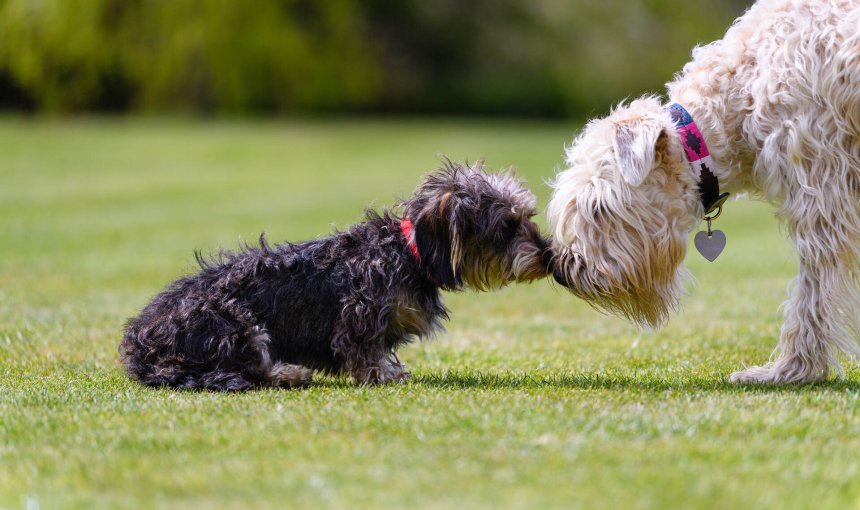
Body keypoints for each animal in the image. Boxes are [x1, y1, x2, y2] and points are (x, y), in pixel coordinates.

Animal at [119, 163, 552, 390]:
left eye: (528, 216)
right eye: (506, 226)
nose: (549, 257)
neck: (408, 252)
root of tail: (138, 342)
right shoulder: (359, 315)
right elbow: (363, 352)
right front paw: (383, 375)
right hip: (239, 325)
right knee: (244, 370)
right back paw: (289, 372)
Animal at [552, 0, 860, 382]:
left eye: (598, 208)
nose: (562, 271)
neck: (742, 92)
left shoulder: (820, 194)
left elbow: (811, 290)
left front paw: (792, 368)